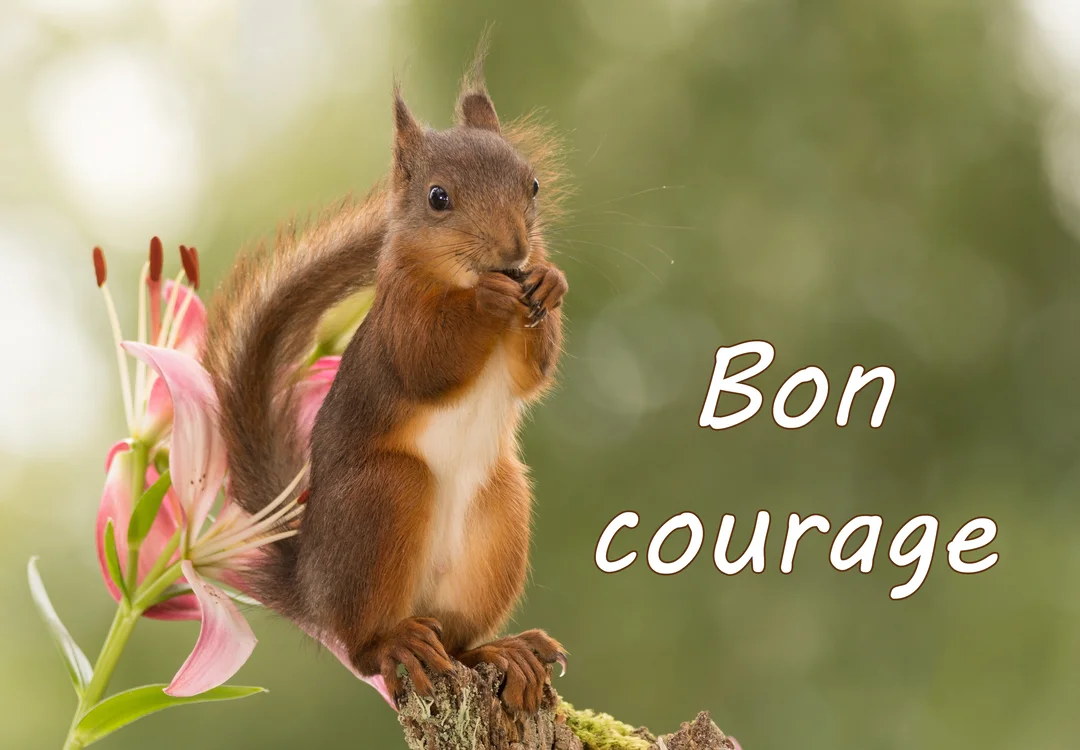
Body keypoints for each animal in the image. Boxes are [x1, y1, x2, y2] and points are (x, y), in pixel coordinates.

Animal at [203, 67, 569, 714]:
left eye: (532, 184)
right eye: (438, 198)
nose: (514, 251)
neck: (457, 277)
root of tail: (312, 586)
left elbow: (534, 373)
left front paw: (548, 281)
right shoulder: (397, 317)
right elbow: (427, 361)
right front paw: (486, 301)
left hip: (502, 511)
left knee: (458, 643)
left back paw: (503, 651)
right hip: (385, 495)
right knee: (364, 649)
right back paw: (397, 643)